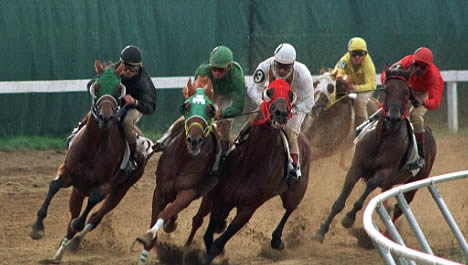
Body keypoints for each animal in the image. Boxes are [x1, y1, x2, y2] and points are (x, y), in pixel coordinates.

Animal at [29, 58, 153, 262]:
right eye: (97, 85)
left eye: (119, 88)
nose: (106, 117)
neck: (93, 147)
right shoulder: (68, 172)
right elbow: (54, 185)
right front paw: (37, 227)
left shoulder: (105, 186)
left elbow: (89, 207)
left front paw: (76, 229)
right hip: (78, 190)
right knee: (73, 216)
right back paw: (59, 253)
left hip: (121, 189)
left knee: (94, 218)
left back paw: (74, 242)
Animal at [133, 77, 218, 264]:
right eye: (186, 106)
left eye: (210, 110)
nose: (194, 140)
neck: (183, 160)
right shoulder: (160, 190)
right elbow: (158, 214)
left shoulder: (188, 193)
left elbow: (167, 211)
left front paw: (150, 235)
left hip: (210, 195)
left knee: (197, 220)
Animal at [186, 78, 310, 264]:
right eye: (269, 91)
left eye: (290, 94)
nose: (281, 113)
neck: (251, 161)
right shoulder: (222, 195)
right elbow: (209, 233)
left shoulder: (248, 207)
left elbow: (217, 245)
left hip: (295, 192)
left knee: (289, 209)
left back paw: (277, 239)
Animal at [312, 67, 436, 241]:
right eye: (385, 90)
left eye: (407, 92)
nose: (393, 118)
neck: (382, 138)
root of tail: (428, 131)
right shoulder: (355, 167)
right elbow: (339, 202)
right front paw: (321, 231)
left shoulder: (383, 173)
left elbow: (368, 187)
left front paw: (349, 218)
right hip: (391, 182)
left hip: (414, 183)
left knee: (399, 208)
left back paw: (386, 236)